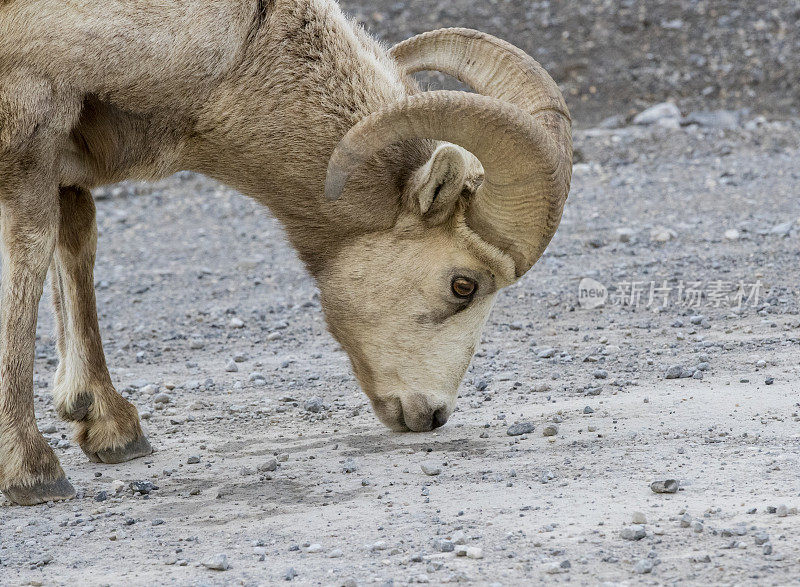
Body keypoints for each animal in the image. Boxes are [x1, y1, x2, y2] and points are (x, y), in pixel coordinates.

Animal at [3, 0, 572, 506]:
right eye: (464, 285)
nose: (432, 417)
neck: (243, 37)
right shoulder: (30, 115)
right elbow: (29, 257)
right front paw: (33, 473)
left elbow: (77, 242)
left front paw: (111, 428)